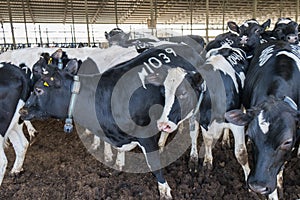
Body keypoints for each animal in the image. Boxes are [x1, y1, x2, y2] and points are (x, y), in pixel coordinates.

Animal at [19, 43, 205, 198]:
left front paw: (164, 190)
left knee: (193, 130)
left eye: (38, 89)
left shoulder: (144, 134)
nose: (22, 110)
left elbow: (154, 164)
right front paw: (119, 164)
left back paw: (193, 158)